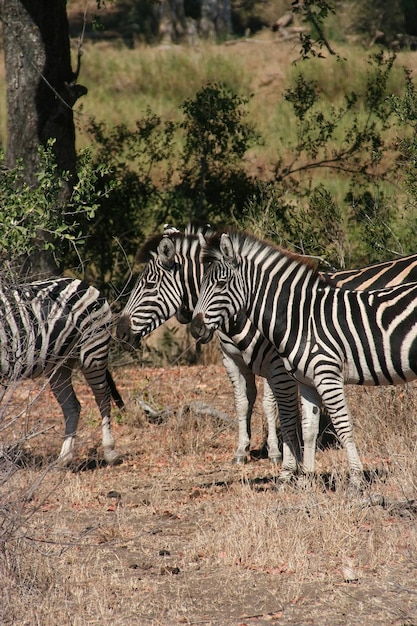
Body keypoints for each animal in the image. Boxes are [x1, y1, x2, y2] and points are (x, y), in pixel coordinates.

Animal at [0, 276, 123, 464]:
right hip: (59, 366)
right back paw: (64, 458)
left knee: (103, 396)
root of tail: (84, 283)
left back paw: (110, 452)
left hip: (93, 349)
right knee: (72, 405)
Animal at [115, 228, 416, 478]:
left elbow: (276, 409)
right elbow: (244, 402)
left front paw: (280, 457)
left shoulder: (277, 367)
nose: (120, 333)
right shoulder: (234, 361)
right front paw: (243, 452)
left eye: (149, 285)